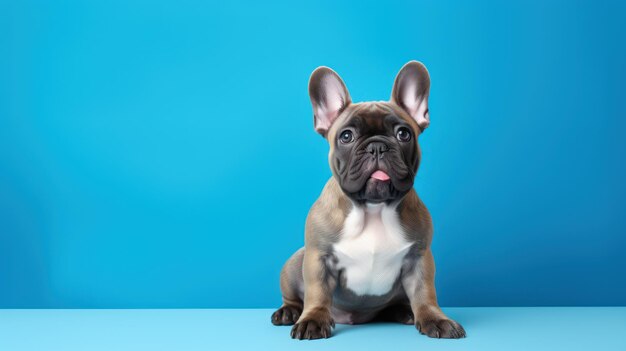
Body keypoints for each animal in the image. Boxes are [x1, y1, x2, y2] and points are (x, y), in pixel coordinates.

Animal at [270, 61, 466, 340]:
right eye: (346, 136)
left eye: (404, 134)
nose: (377, 146)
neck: (373, 208)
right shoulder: (318, 257)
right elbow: (317, 293)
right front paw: (313, 320)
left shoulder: (419, 258)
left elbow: (425, 292)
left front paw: (434, 319)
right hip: (295, 261)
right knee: (294, 296)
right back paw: (288, 312)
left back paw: (404, 312)